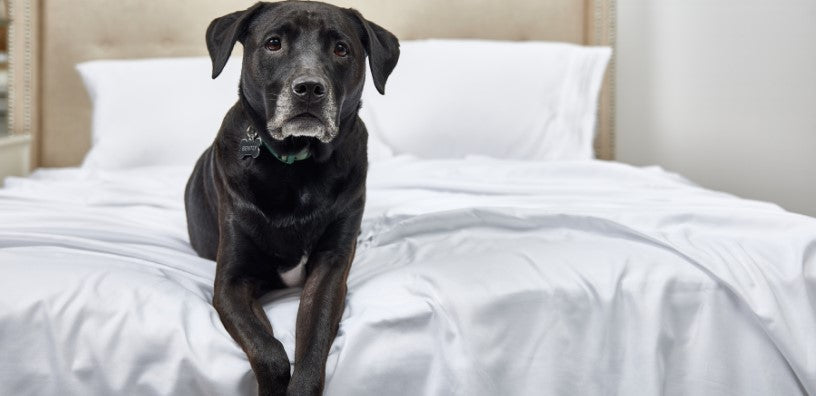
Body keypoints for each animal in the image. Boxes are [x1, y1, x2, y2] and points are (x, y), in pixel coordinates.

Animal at [186, 2, 402, 392]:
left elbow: (313, 338)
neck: (297, 166)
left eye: (341, 48)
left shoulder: (330, 267)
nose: (309, 88)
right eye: (274, 43)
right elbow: (269, 349)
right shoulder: (231, 282)